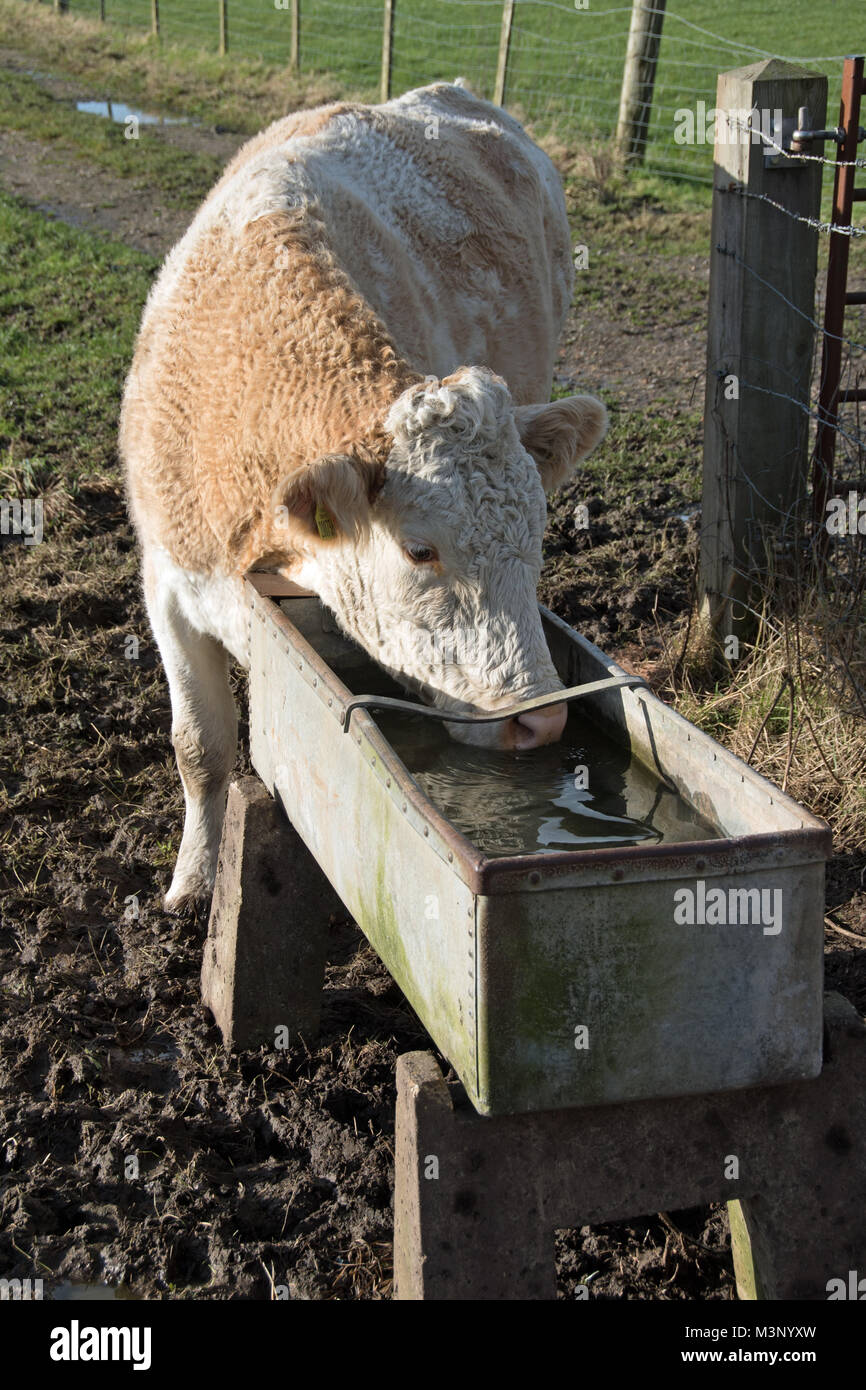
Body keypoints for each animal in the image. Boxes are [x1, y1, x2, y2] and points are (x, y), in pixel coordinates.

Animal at [119, 81, 608, 911]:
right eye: (418, 549)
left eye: (538, 539)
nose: (541, 726)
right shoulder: (168, 583)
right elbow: (199, 749)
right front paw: (190, 882)